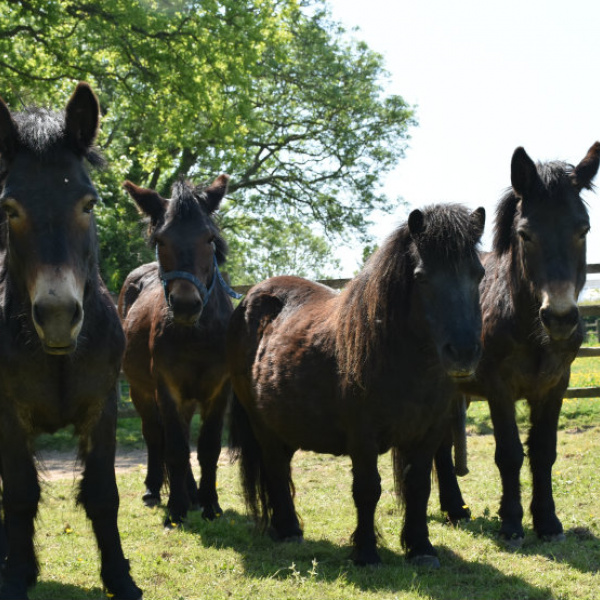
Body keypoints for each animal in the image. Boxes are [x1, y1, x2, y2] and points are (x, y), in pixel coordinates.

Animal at [0, 84, 141, 600]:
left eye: (89, 203)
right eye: (9, 208)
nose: (59, 318)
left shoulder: (102, 409)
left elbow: (103, 495)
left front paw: (120, 577)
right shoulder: (7, 416)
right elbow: (20, 495)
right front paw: (15, 576)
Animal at [118, 172, 238, 524]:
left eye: (209, 239)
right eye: (161, 240)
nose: (186, 305)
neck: (196, 334)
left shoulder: (219, 390)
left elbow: (208, 448)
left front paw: (210, 504)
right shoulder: (167, 389)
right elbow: (174, 447)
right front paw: (176, 507)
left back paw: (193, 493)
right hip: (141, 391)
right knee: (155, 434)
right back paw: (155, 489)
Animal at [227, 204, 486, 564]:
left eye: (479, 274)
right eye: (421, 277)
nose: (463, 352)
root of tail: (251, 297)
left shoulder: (429, 432)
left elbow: (418, 486)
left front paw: (420, 547)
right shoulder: (362, 436)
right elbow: (367, 489)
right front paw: (365, 552)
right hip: (261, 424)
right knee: (275, 467)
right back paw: (290, 530)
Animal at [436, 142, 600, 544]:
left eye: (584, 229)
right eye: (525, 234)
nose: (560, 318)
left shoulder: (556, 385)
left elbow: (543, 451)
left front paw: (548, 522)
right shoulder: (499, 388)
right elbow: (509, 453)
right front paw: (511, 522)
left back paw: (457, 508)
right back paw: (452, 509)